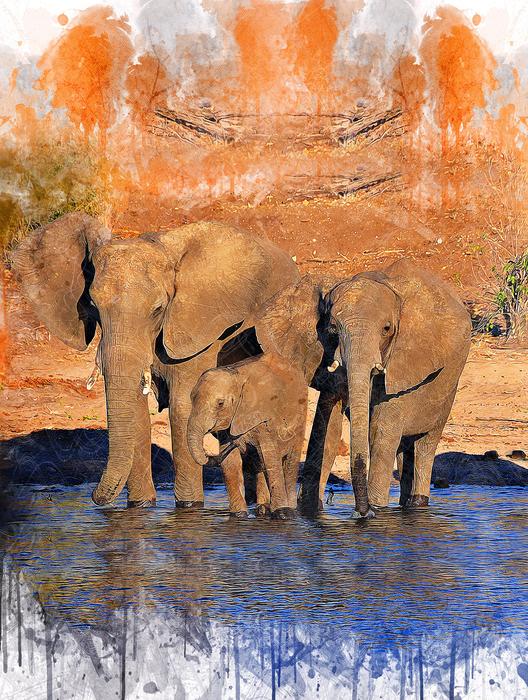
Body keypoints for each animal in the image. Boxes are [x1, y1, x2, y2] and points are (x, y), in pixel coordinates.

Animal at [11, 212, 299, 508]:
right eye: (92, 305)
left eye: (158, 309)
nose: (94, 498)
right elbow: (136, 408)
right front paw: (140, 506)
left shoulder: (200, 328)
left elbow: (182, 407)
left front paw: (189, 508)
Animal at [187, 353, 308, 519]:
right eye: (191, 399)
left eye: (220, 404)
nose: (239, 442)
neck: (236, 376)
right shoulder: (231, 420)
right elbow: (231, 462)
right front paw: (238, 515)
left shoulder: (264, 415)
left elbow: (270, 457)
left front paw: (283, 514)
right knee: (260, 462)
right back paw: (263, 509)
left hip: (300, 420)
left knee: (289, 462)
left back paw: (290, 510)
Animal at [311, 259, 472, 517]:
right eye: (333, 328)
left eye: (386, 329)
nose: (362, 513)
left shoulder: (404, 364)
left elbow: (381, 432)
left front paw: (376, 509)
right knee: (404, 449)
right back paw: (406, 504)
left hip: (450, 385)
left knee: (426, 445)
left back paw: (418, 502)